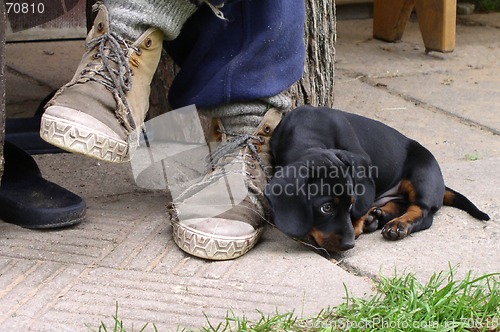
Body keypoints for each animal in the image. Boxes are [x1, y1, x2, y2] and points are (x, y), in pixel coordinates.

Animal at [268, 105, 490, 252]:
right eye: (327, 208)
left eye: (351, 204)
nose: (349, 245)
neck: (308, 128)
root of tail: (442, 185)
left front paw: (358, 224)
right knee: (400, 204)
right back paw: (377, 216)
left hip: (423, 175)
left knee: (423, 213)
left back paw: (397, 225)